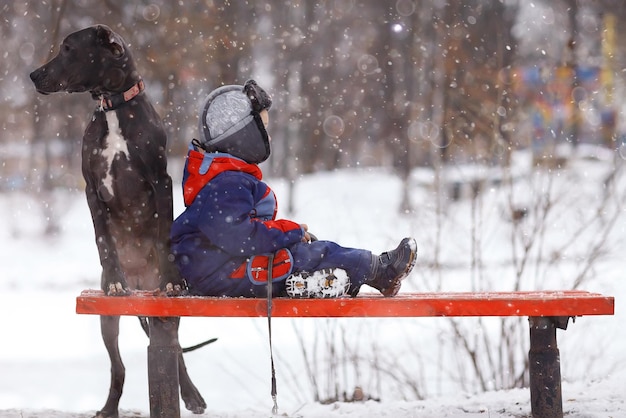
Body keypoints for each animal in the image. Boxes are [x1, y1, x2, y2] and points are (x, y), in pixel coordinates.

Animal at [29, 26, 205, 418]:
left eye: (68, 48)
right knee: (118, 366)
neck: (112, 107)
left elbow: (165, 235)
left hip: (166, 312)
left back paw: (190, 395)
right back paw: (109, 407)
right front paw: (114, 280)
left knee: (174, 351)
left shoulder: (161, 180)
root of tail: (140, 280)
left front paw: (171, 277)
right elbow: (102, 238)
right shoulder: (90, 187)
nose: (33, 75)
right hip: (107, 321)